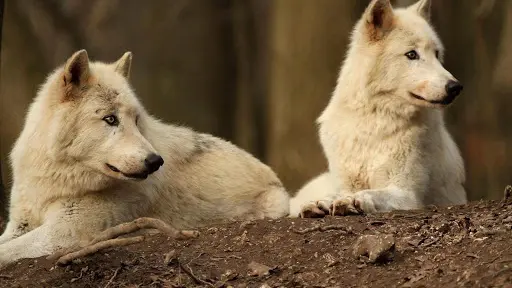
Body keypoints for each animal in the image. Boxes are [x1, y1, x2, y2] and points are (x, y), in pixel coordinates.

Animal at [0, 48, 288, 266]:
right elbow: (5, 242)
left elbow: (6, 251)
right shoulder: (19, 224)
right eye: (110, 119)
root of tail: (273, 176)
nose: (155, 161)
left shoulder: (65, 231)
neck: (57, 178)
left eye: (136, 120)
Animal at [290, 0, 466, 217]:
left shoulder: (406, 193)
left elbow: (372, 192)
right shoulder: (346, 183)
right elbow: (337, 193)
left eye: (436, 54)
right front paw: (321, 202)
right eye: (411, 54)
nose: (455, 87)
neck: (373, 126)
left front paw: (352, 200)